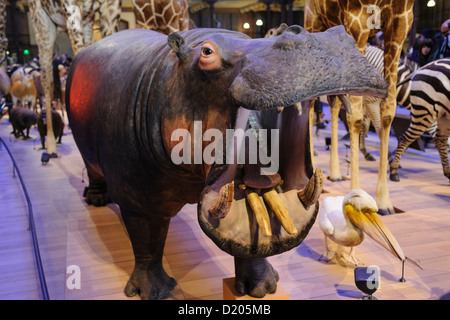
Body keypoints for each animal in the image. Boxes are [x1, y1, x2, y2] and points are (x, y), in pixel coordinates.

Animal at [29, 0, 122, 155]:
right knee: (47, 86)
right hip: (44, 31)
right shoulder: (72, 10)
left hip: (87, 26)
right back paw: (50, 145)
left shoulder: (111, 10)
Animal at [302, 0, 414, 215]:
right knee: (311, 103)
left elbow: (388, 112)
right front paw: (355, 195)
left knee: (334, 102)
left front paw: (384, 201)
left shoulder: (401, 21)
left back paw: (335, 172)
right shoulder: (357, 20)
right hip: (314, 24)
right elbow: (355, 116)